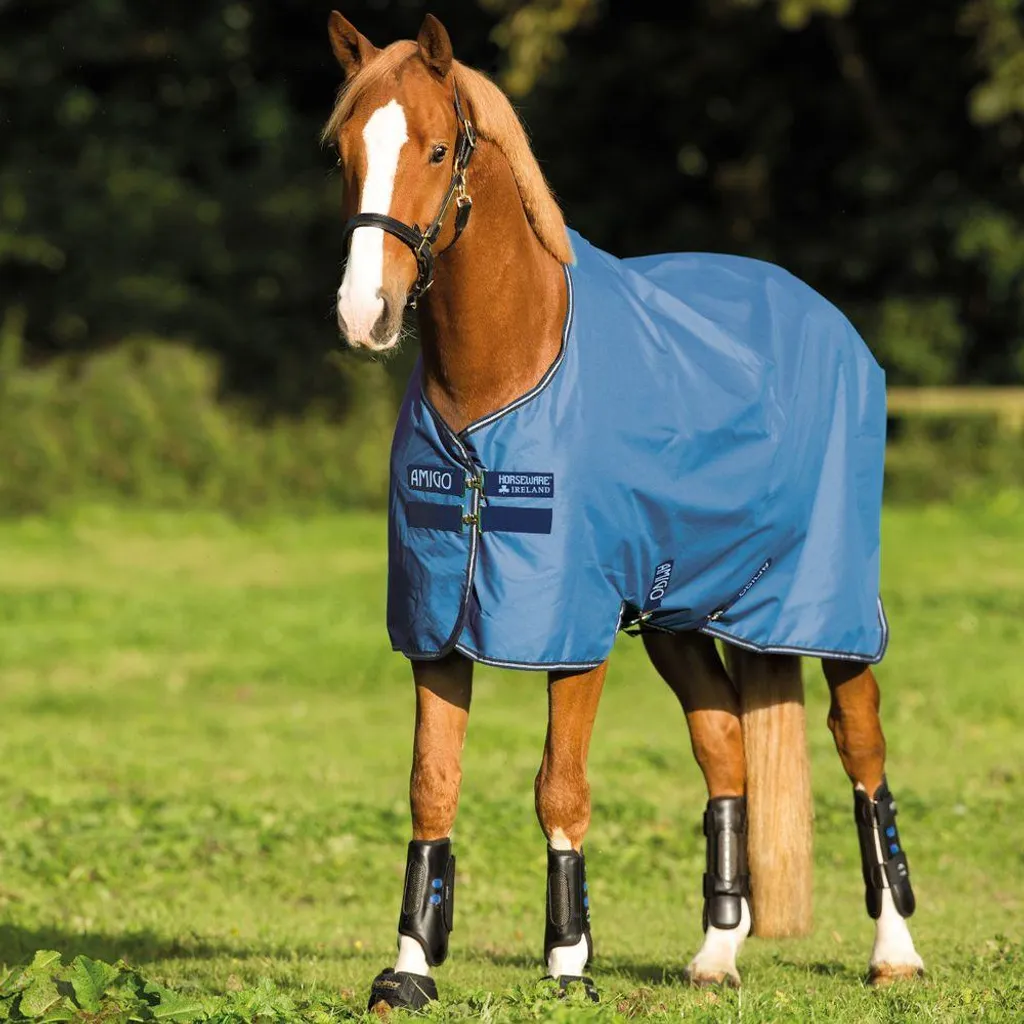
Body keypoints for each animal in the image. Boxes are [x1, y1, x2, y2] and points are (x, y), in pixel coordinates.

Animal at [322, 12, 924, 1013]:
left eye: (438, 148)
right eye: (343, 153)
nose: (364, 313)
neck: (503, 376)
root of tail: (823, 314)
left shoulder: (572, 632)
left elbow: (559, 787)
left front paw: (569, 963)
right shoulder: (437, 626)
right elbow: (431, 785)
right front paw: (409, 969)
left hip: (832, 611)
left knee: (863, 752)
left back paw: (895, 951)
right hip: (681, 616)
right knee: (724, 751)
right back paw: (718, 954)